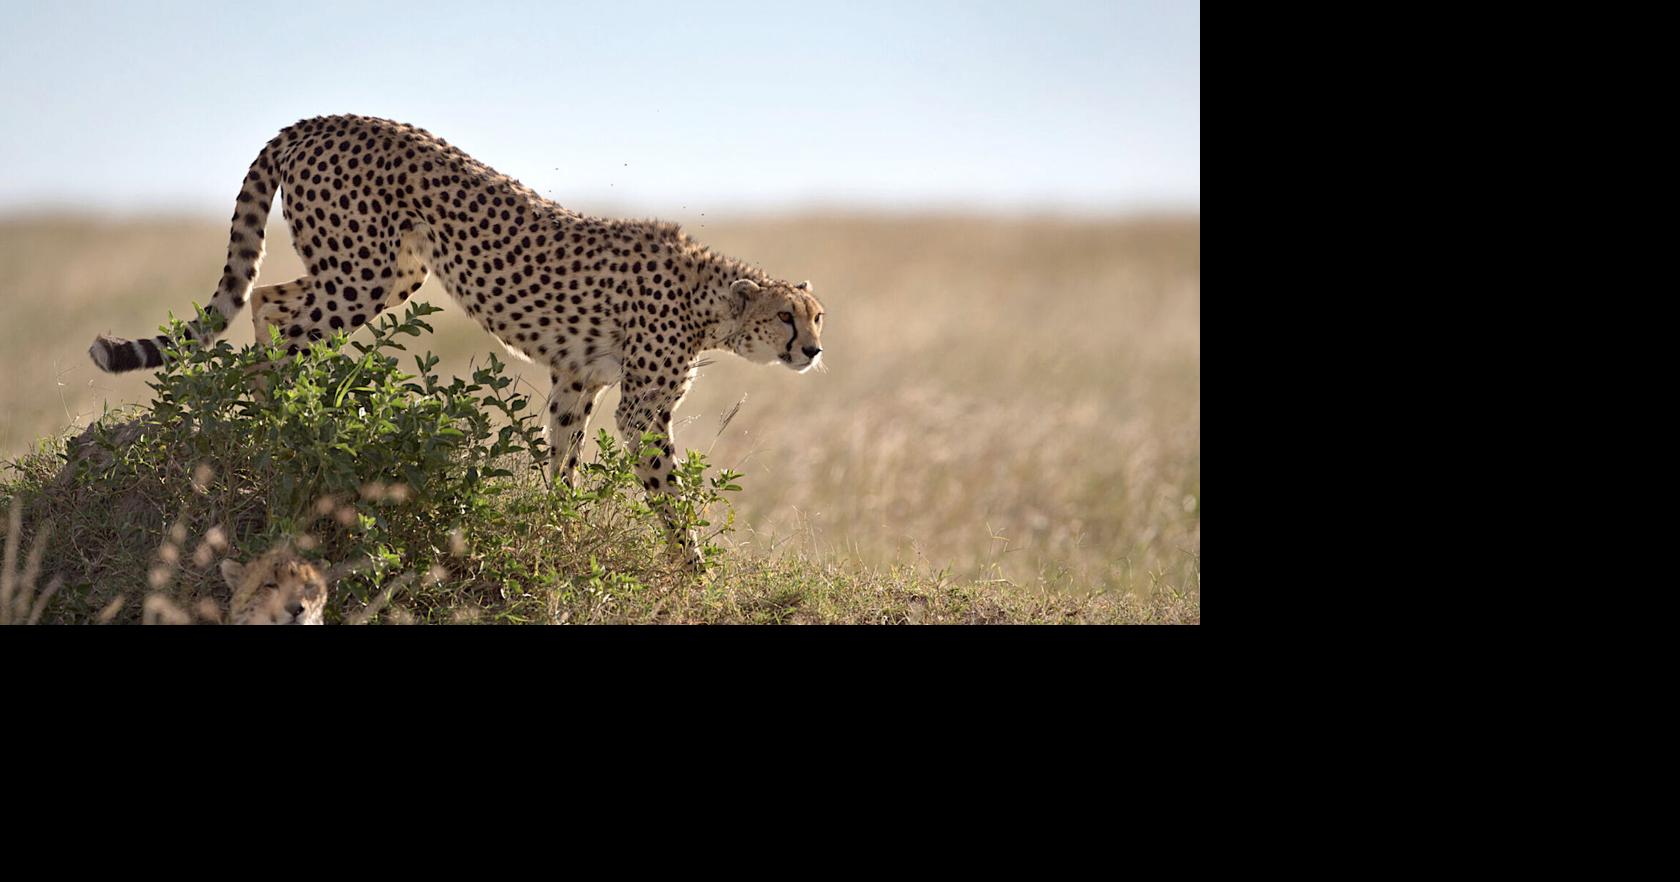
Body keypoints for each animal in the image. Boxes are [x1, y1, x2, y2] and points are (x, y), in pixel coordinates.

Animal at [88, 115, 826, 565]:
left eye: (819, 317)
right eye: (788, 317)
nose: (814, 351)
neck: (711, 301)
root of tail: (323, 119)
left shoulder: (576, 381)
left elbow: (562, 461)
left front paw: (556, 532)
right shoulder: (641, 410)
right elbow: (668, 494)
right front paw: (690, 565)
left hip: (390, 272)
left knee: (270, 300)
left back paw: (289, 407)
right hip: (363, 272)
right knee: (282, 322)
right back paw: (283, 416)